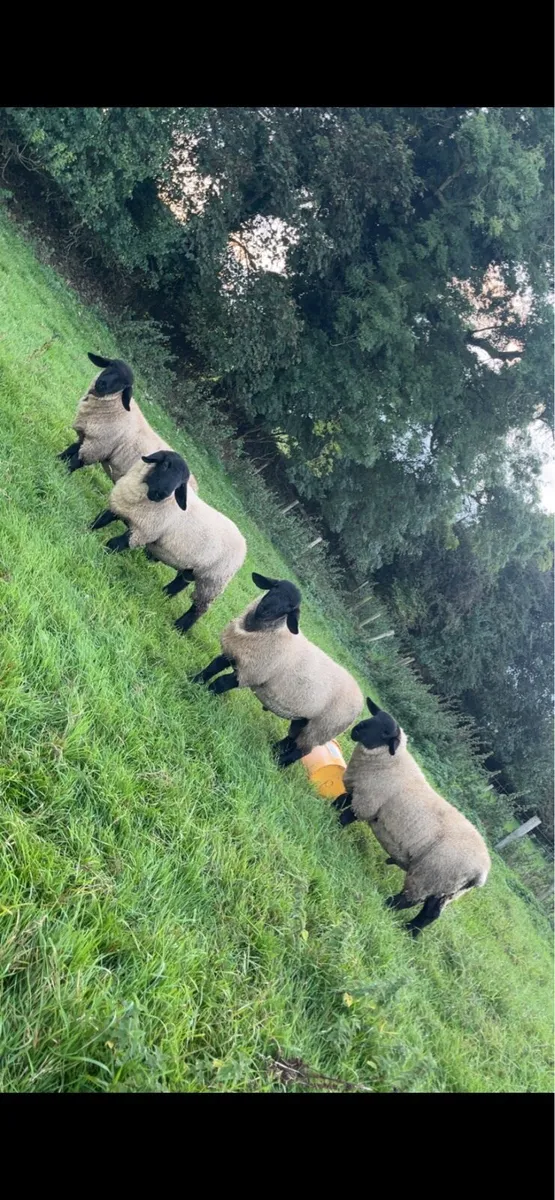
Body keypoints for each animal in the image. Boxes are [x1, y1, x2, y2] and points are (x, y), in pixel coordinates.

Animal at [58, 352, 198, 491]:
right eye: (111, 365)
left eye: (124, 385)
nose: (102, 384)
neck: (117, 408)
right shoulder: (88, 438)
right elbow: (70, 450)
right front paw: (57, 460)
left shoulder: (97, 447)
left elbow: (75, 461)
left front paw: (64, 474)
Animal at [91, 450, 246, 634]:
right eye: (166, 465)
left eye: (181, 484)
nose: (162, 493)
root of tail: (244, 544)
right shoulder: (120, 510)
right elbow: (100, 521)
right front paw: (86, 533)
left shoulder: (143, 532)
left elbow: (115, 544)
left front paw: (101, 554)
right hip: (194, 570)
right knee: (180, 583)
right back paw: (163, 594)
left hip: (212, 580)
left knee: (199, 608)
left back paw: (180, 627)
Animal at [193, 573, 364, 767]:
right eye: (274, 587)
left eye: (290, 608)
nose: (265, 609)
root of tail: (360, 701)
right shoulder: (235, 653)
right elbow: (212, 667)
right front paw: (194, 681)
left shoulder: (252, 673)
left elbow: (221, 682)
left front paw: (204, 695)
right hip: (305, 720)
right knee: (291, 740)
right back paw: (273, 754)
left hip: (323, 727)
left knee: (301, 750)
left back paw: (279, 764)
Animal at [332, 698, 491, 936]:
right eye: (374, 716)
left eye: (386, 732)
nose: (357, 729)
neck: (389, 763)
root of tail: (481, 872)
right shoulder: (357, 792)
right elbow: (339, 802)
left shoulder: (368, 803)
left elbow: (346, 816)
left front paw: (331, 826)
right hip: (447, 888)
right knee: (431, 913)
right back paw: (411, 932)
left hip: (431, 874)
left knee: (410, 900)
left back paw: (387, 906)